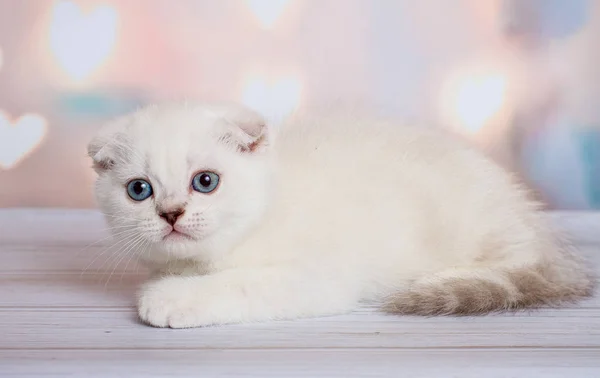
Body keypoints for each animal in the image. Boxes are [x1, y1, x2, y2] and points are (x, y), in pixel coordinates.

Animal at [88, 102, 596, 328]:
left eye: (205, 181)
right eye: (139, 190)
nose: (171, 214)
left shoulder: (315, 277)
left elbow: (238, 284)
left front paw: (169, 298)